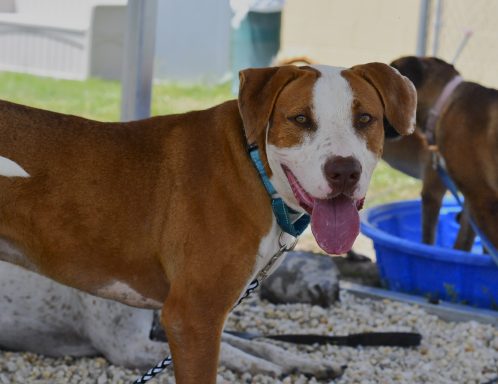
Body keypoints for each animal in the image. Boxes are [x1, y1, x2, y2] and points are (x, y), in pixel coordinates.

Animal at [0, 63, 416, 380]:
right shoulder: (190, 318)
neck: (254, 165)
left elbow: (257, 342)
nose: (344, 171)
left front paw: (305, 361)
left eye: (365, 119)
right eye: (300, 119)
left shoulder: (197, 318)